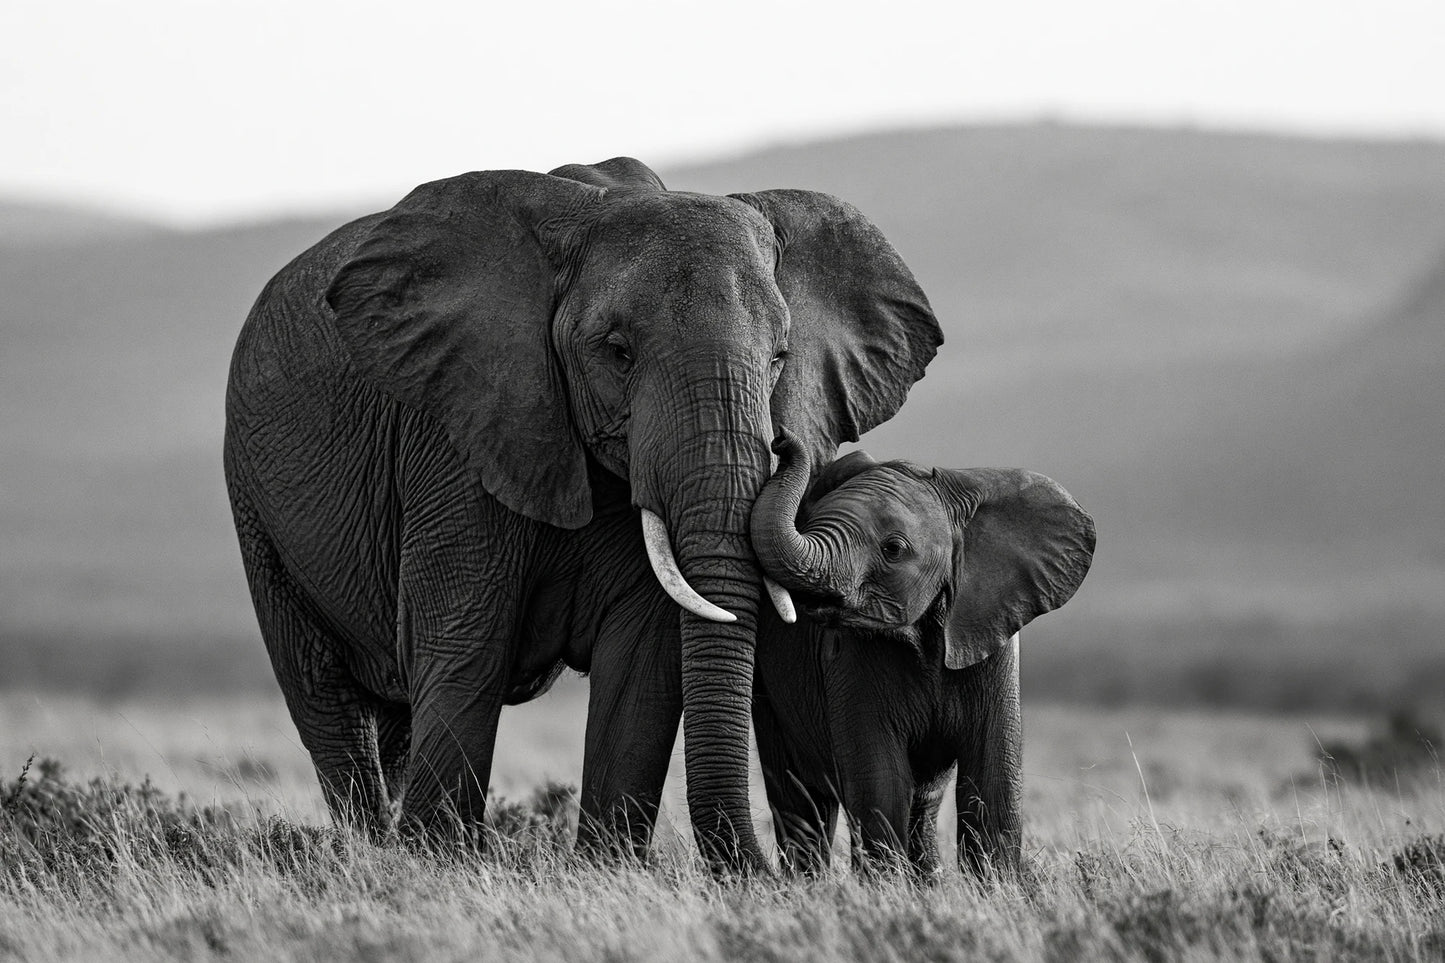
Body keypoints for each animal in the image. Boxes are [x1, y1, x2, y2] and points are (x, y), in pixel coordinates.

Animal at [222, 156, 942, 871]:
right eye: (617, 351)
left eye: (780, 359)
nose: (787, 442)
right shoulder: (456, 431)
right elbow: (464, 645)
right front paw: (437, 864)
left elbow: (640, 665)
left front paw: (605, 868)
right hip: (256, 508)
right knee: (327, 702)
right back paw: (365, 854)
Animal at [747, 432, 1095, 875]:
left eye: (894, 549)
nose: (781, 440)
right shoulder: (850, 660)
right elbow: (880, 779)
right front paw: (886, 885)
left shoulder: (992, 640)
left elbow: (993, 777)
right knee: (802, 798)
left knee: (921, 803)